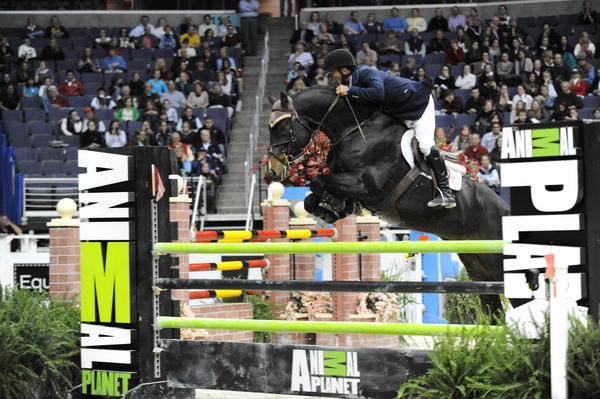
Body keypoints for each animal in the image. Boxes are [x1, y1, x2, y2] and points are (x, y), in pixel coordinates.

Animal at [268, 86, 510, 312]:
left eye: (282, 126)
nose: (273, 170)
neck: (355, 131)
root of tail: (506, 209)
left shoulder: (367, 185)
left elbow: (317, 180)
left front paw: (331, 205)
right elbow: (313, 196)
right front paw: (331, 208)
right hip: (477, 267)